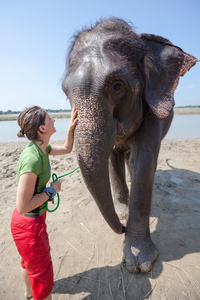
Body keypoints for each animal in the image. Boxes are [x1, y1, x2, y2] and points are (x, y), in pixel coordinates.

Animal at [62, 17, 197, 274]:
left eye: (117, 86)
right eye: (65, 92)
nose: (121, 228)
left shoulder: (152, 109)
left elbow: (143, 160)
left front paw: (139, 262)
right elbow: (112, 157)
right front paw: (123, 212)